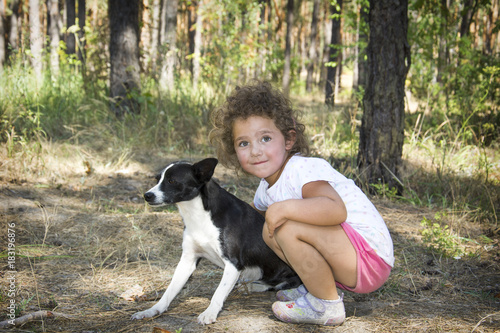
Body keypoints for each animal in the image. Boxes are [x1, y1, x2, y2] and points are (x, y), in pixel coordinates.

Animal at [131, 158, 298, 324]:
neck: (198, 214)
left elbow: (218, 292)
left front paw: (209, 313)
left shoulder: (233, 264)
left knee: (281, 284)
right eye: (157, 179)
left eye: (172, 180)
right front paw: (153, 310)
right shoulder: (187, 261)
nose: (147, 195)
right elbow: (170, 290)